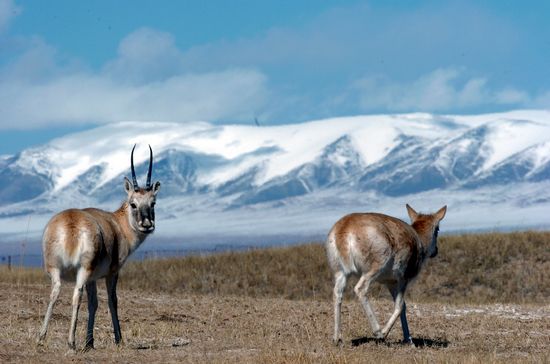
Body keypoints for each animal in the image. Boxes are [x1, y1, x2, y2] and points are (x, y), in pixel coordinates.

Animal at [37, 144, 160, 350]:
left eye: (153, 203)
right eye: (133, 203)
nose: (147, 225)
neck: (118, 224)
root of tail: (71, 221)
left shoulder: (93, 279)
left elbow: (93, 303)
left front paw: (90, 342)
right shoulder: (112, 273)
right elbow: (112, 301)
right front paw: (118, 339)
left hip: (54, 269)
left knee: (54, 293)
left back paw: (41, 338)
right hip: (83, 270)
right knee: (76, 295)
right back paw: (71, 342)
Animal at [328, 205, 448, 344]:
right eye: (437, 229)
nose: (436, 251)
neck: (418, 240)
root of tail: (345, 227)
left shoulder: (390, 283)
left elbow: (403, 305)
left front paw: (409, 340)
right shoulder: (403, 279)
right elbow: (400, 305)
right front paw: (386, 333)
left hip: (341, 273)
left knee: (337, 293)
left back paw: (337, 338)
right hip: (373, 269)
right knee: (360, 289)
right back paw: (378, 331)